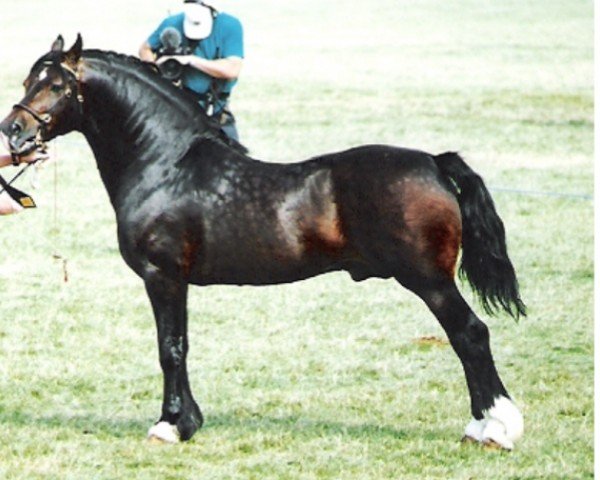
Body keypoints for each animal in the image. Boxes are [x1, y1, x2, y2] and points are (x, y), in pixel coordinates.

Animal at [0, 36, 524, 450]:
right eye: (28, 80)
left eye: (56, 85)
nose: (14, 131)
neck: (166, 165)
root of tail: (433, 163)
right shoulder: (176, 281)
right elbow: (181, 345)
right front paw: (189, 421)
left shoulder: (163, 275)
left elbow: (170, 347)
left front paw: (170, 425)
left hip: (429, 280)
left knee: (470, 335)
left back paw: (494, 429)